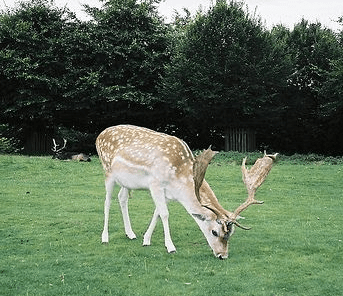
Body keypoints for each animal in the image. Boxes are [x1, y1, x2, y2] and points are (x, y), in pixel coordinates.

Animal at [95, 125, 278, 260]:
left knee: (122, 198)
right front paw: (170, 247)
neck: (178, 180)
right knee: (107, 201)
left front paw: (146, 240)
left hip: (126, 182)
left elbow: (157, 213)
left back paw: (130, 234)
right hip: (108, 171)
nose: (223, 255)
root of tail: (99, 135)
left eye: (231, 233)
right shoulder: (155, 184)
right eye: (214, 231)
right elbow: (165, 214)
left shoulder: (167, 193)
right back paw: (105, 237)